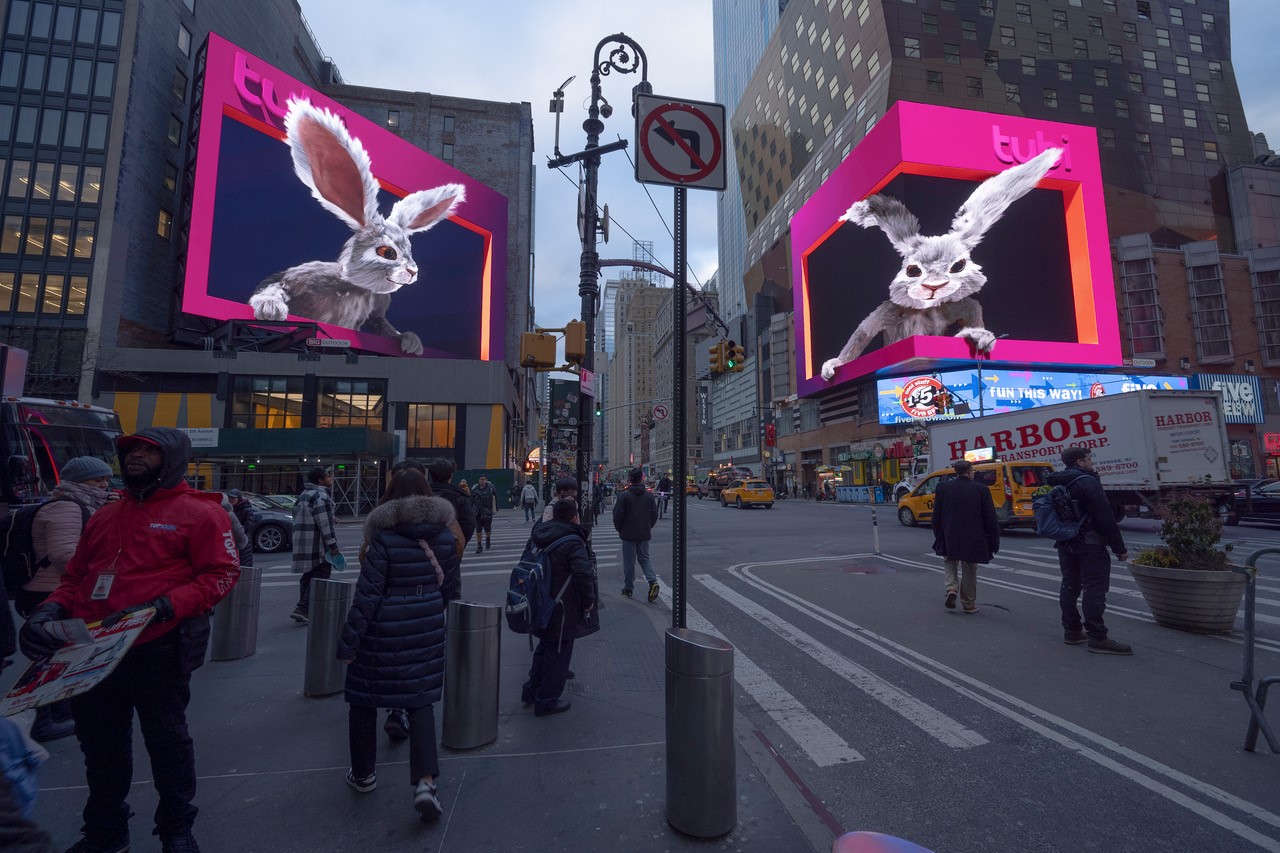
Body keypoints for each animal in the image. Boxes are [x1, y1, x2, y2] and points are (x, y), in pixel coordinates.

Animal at [248, 97, 465, 353]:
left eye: (411, 251)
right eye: (387, 252)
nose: (413, 271)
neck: (355, 287)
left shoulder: (375, 310)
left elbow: (383, 325)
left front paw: (411, 342)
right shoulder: (297, 277)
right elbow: (274, 285)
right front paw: (269, 308)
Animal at [819, 147, 1059, 379]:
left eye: (958, 266)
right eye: (912, 270)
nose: (934, 286)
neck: (926, 309)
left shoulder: (952, 306)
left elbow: (973, 308)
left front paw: (977, 335)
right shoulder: (889, 310)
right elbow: (864, 330)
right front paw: (835, 363)